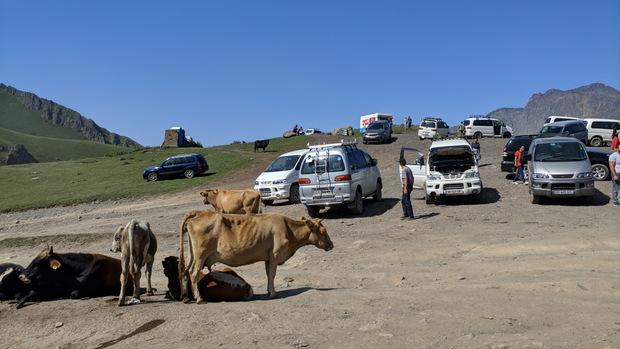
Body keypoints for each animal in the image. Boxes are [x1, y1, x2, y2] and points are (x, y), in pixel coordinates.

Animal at [179, 209, 334, 302]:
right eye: (324, 231)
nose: (331, 245)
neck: (289, 230)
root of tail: (199, 212)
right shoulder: (275, 255)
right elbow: (272, 274)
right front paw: (273, 293)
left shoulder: (267, 257)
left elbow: (268, 274)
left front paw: (269, 290)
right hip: (200, 254)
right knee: (193, 273)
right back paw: (199, 298)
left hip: (192, 255)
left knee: (185, 271)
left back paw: (186, 297)